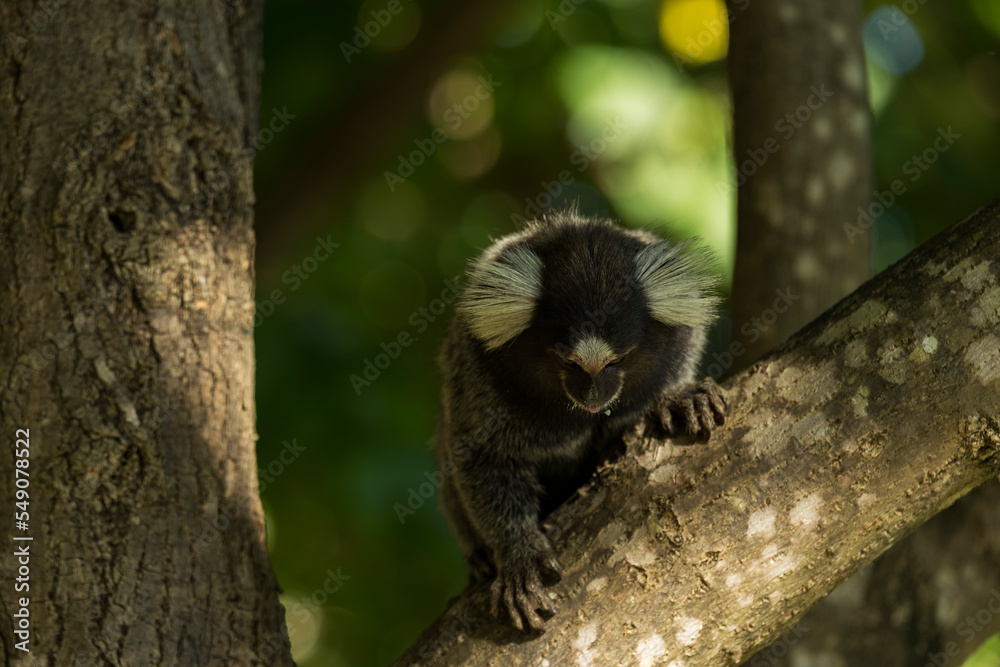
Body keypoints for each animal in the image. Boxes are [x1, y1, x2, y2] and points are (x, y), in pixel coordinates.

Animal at [435, 209, 727, 632]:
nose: (593, 396)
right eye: (569, 362)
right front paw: (517, 552)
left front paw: (675, 397)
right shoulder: (478, 362)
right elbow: (480, 456)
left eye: (616, 361)